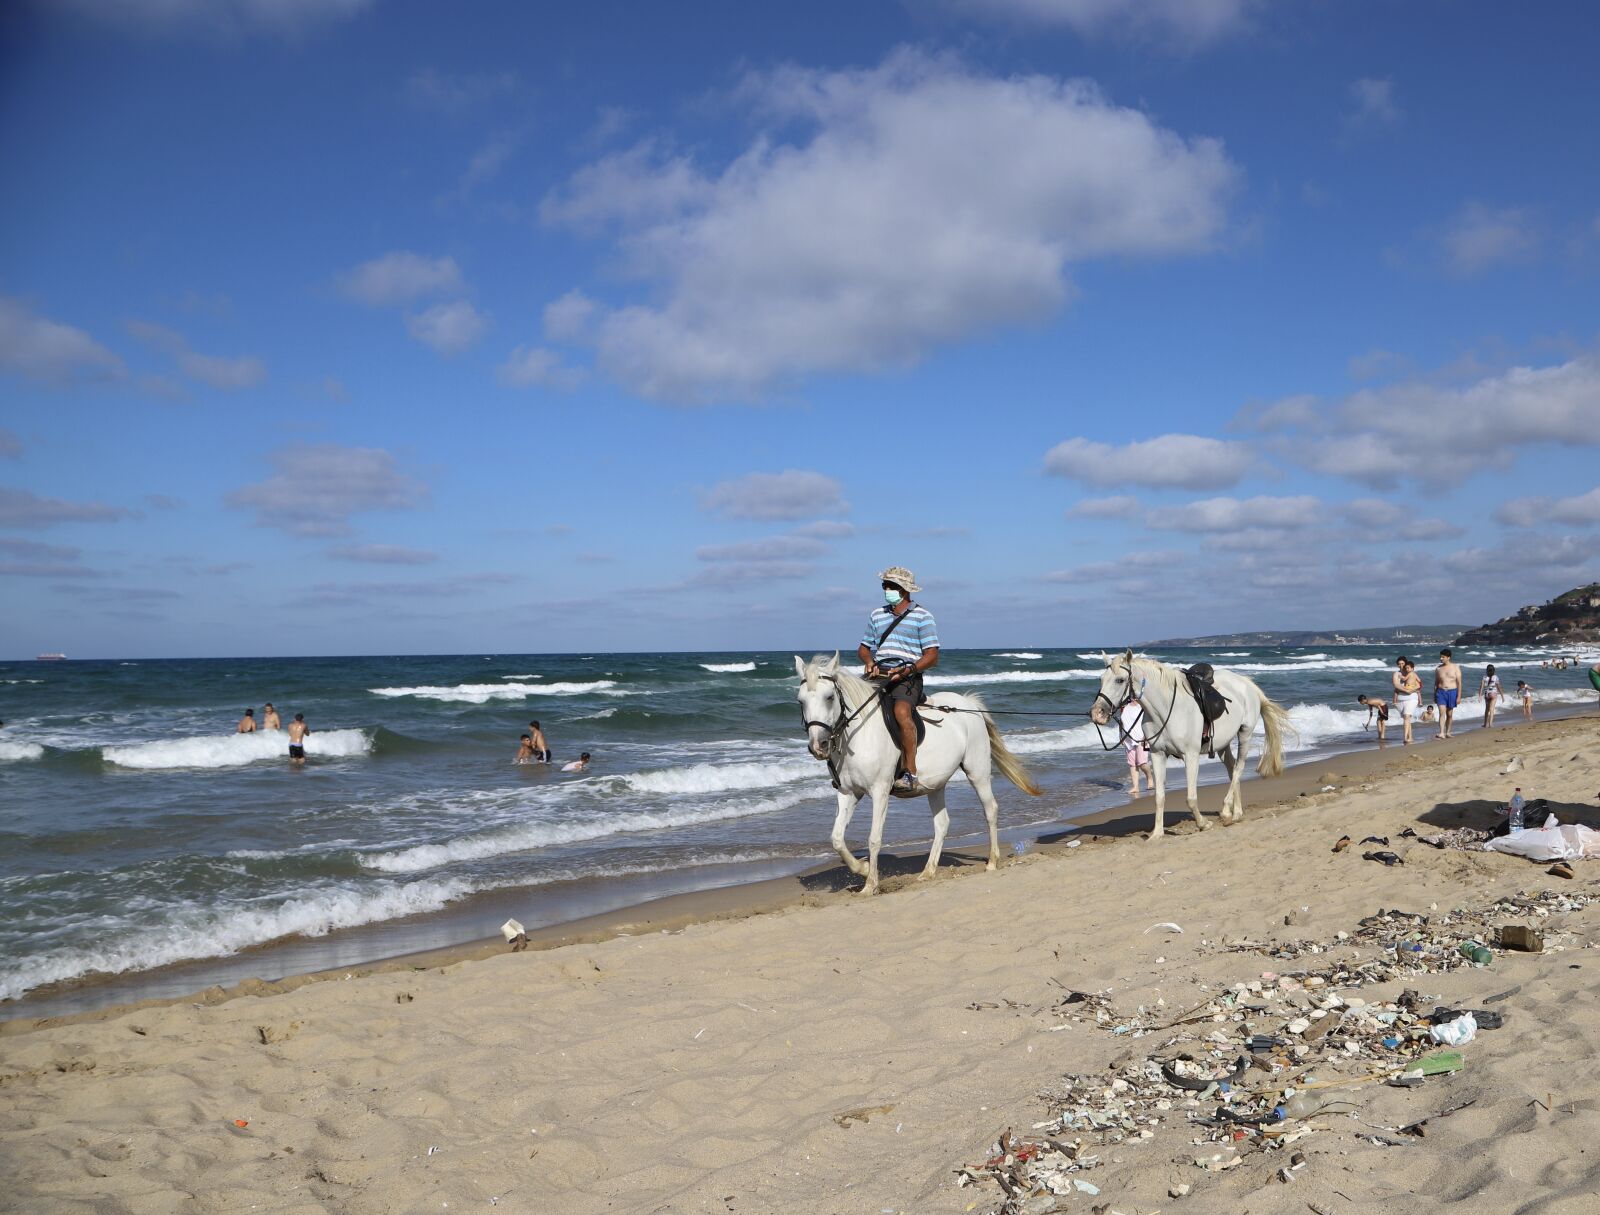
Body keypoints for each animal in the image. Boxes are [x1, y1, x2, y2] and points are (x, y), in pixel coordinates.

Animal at [796, 656, 1043, 896]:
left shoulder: (880, 791)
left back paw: (992, 862)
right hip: (936, 784)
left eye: (829, 697)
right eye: (801, 701)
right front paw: (863, 868)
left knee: (990, 810)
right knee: (942, 824)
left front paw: (870, 885)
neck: (859, 735)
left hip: (977, 772)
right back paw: (928, 871)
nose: (818, 746)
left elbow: (874, 838)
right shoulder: (848, 793)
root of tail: (967, 703)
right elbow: (836, 839)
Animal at [1094, 649, 1292, 838]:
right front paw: (1157, 834)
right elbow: (1159, 796)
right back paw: (1236, 813)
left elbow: (1190, 797)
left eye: (1120, 680)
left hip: (1245, 733)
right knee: (1231, 769)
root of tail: (1246, 683)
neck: (1166, 709)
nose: (1097, 713)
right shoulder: (1158, 754)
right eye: (1102, 679)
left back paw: (1226, 811)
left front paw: (1203, 824)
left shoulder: (1191, 755)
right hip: (1222, 744)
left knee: (1238, 769)